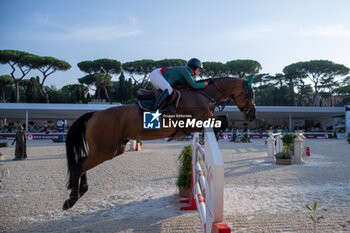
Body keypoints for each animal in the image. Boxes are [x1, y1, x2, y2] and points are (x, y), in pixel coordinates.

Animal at [62, 76, 254, 209]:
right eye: (250, 94)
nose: (252, 114)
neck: (204, 94)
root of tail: (94, 114)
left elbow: (224, 120)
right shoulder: (195, 122)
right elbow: (224, 121)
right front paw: (217, 132)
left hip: (113, 149)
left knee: (82, 164)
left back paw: (81, 191)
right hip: (105, 151)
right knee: (79, 166)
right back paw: (71, 199)